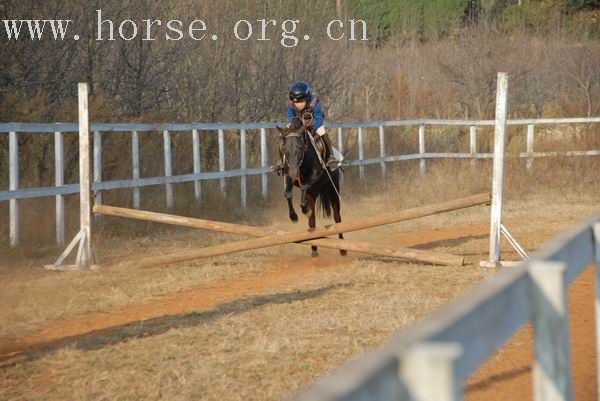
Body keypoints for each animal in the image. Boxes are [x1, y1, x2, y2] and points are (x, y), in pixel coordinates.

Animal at [274, 124, 344, 256]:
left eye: (301, 147)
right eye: (284, 149)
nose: (294, 172)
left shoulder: (315, 176)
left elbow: (304, 186)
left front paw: (305, 209)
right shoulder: (288, 174)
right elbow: (287, 193)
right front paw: (294, 217)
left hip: (332, 189)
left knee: (337, 218)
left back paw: (343, 249)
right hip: (313, 193)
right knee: (312, 222)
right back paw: (314, 249)